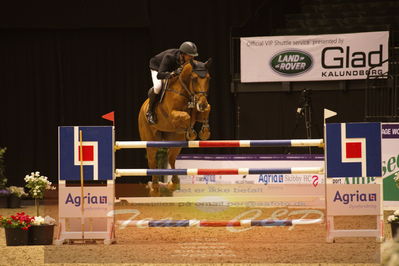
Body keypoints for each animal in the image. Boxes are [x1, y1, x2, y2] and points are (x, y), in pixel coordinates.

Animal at [138, 59, 212, 196]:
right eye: (194, 79)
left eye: (208, 78)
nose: (202, 104)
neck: (185, 91)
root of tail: (143, 107)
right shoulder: (173, 116)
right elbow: (187, 117)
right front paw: (191, 132)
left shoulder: (198, 108)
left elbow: (205, 110)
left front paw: (205, 132)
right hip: (150, 141)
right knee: (152, 161)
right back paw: (155, 188)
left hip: (175, 139)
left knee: (171, 158)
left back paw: (174, 183)